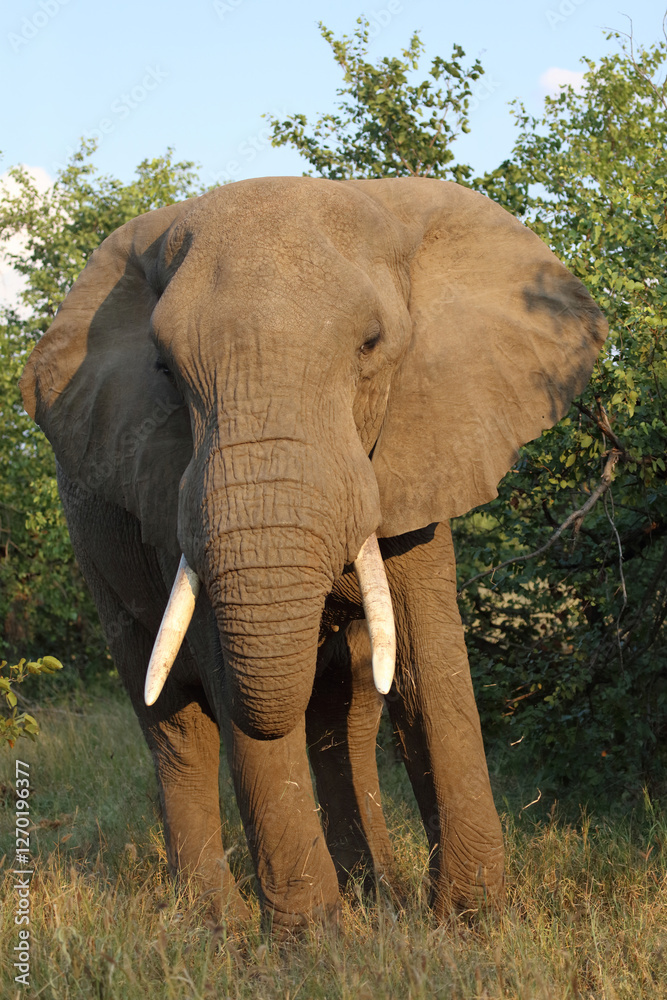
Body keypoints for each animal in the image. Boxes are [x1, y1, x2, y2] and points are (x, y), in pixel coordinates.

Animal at [20, 176, 607, 933]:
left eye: (371, 344)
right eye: (164, 370)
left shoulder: (421, 440)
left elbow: (426, 663)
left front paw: (469, 923)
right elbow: (233, 688)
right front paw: (314, 941)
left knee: (345, 710)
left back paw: (374, 893)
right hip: (95, 552)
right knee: (175, 722)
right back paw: (219, 923)